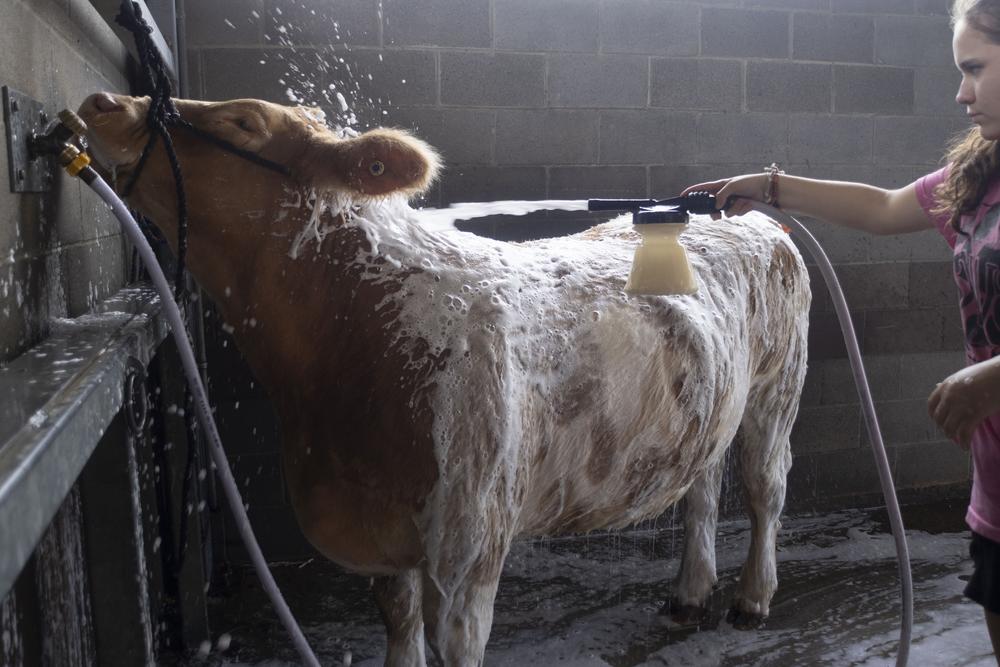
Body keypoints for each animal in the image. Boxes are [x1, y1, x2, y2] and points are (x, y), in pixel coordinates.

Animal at [78, 92, 812, 667]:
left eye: (243, 122)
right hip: (709, 405)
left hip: (778, 387)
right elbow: (399, 627)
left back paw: (752, 598)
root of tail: (747, 214)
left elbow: (453, 642)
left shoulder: (469, 542)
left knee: (766, 490)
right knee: (702, 490)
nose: (104, 103)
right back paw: (690, 593)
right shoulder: (387, 545)